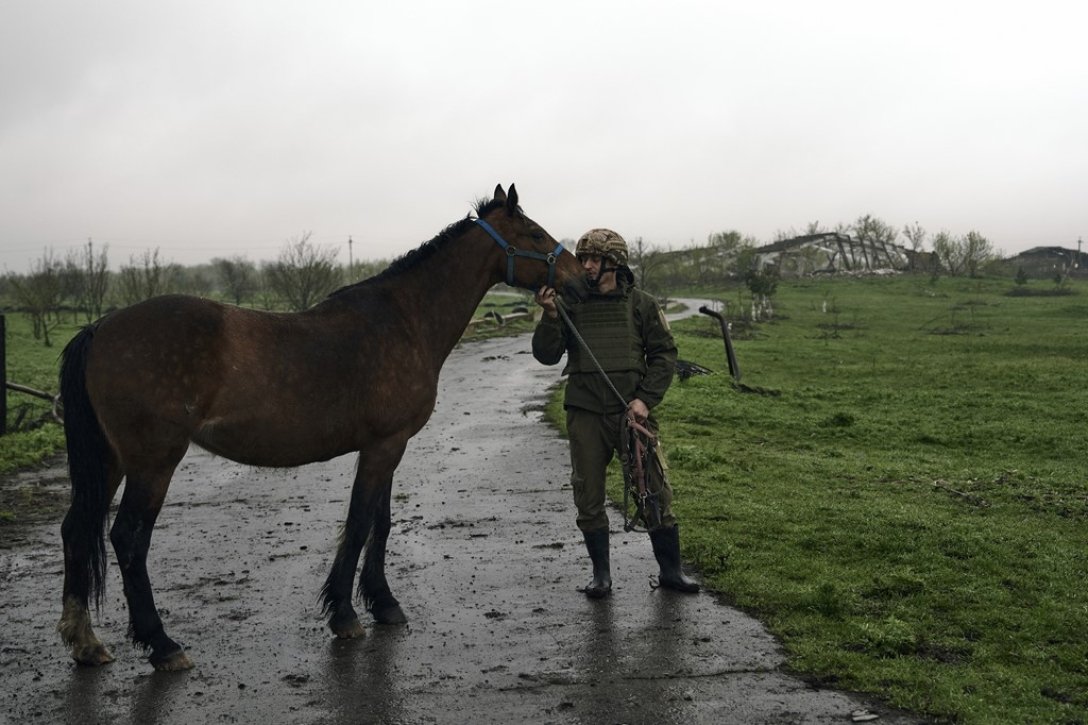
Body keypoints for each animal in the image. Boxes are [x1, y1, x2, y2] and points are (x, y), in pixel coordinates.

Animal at [58, 183, 587, 670]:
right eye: (535, 233)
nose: (582, 279)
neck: (406, 320)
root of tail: (99, 329)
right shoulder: (384, 446)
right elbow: (358, 524)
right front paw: (345, 615)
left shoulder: (388, 445)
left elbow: (380, 523)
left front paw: (384, 604)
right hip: (153, 462)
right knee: (128, 539)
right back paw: (163, 645)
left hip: (111, 460)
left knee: (76, 529)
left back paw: (86, 642)